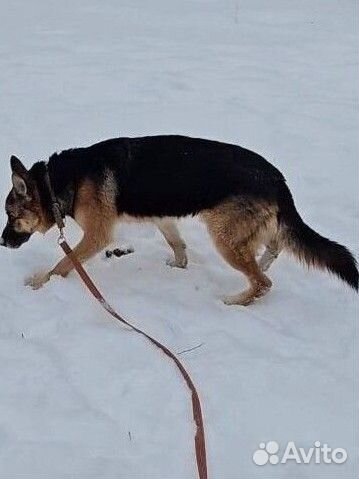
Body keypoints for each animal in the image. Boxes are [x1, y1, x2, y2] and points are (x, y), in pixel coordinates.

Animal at [1, 135, 358, 306]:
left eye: (11, 216)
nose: (2, 241)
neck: (57, 181)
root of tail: (277, 178)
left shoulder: (97, 236)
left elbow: (64, 263)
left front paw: (40, 282)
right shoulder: (163, 216)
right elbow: (177, 242)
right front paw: (180, 264)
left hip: (224, 238)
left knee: (264, 283)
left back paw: (237, 300)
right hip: (245, 232)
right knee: (273, 248)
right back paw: (263, 263)